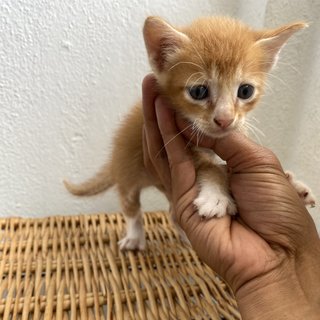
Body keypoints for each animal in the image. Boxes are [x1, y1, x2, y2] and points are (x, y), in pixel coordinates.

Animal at [64, 16, 316, 251]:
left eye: (245, 91)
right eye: (198, 91)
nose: (225, 120)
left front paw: (292, 185)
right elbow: (211, 167)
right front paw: (216, 197)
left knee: (172, 211)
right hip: (127, 173)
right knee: (131, 209)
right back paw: (135, 237)